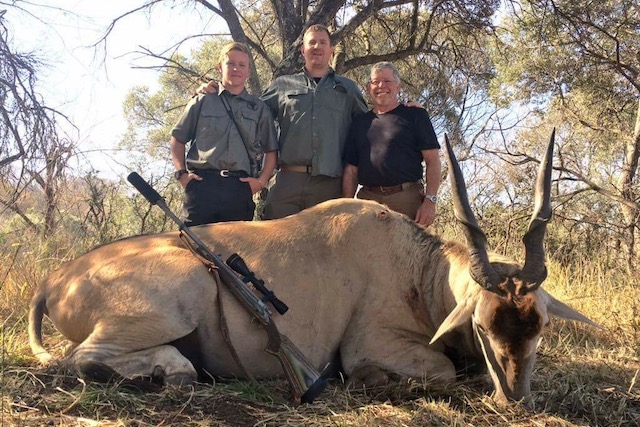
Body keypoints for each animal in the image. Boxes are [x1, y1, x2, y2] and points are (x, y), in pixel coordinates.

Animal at [30, 132, 600, 406]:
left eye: (539, 326)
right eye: (481, 325)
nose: (516, 399)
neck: (418, 269)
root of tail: (56, 280)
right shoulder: (372, 344)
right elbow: (435, 370)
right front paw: (375, 381)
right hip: (184, 292)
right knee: (81, 358)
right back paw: (162, 375)